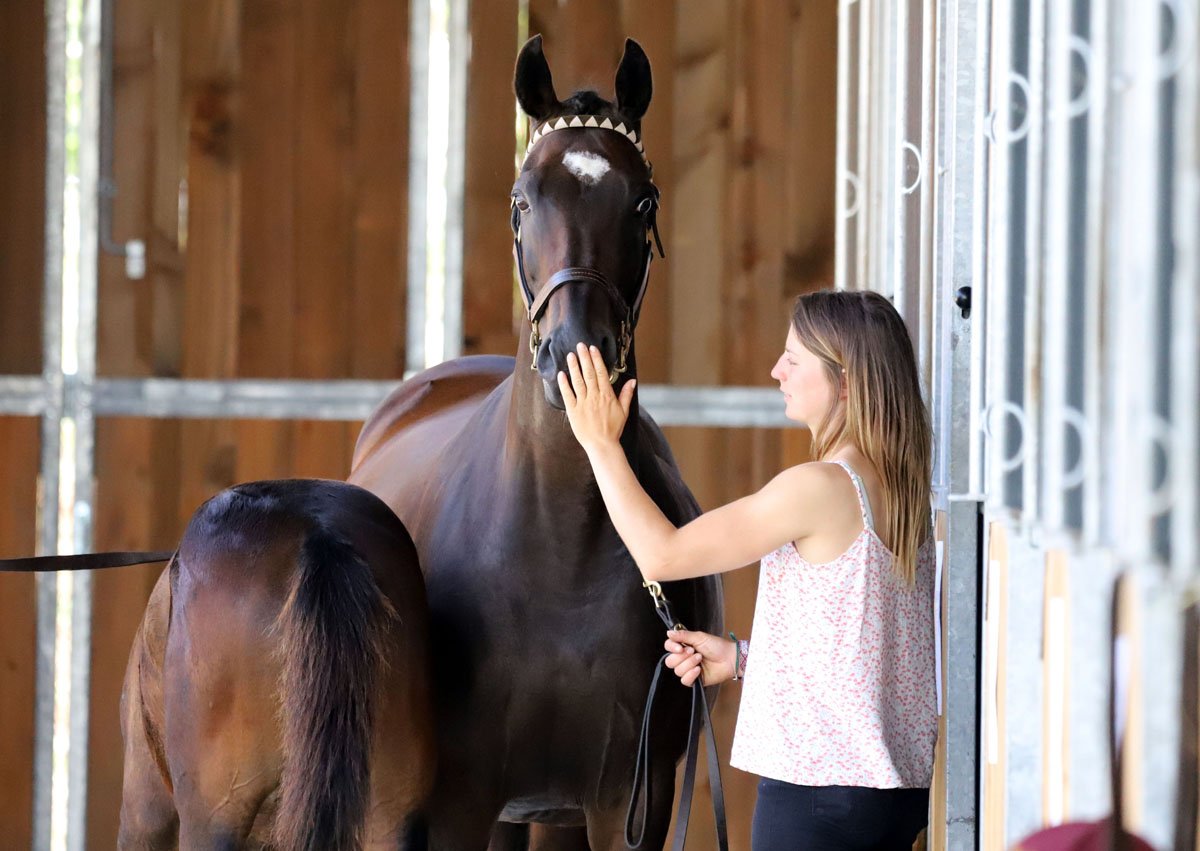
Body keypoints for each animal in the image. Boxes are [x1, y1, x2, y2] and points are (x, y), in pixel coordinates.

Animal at [348, 35, 723, 851]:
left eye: (643, 202)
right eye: (523, 200)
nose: (572, 355)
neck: (556, 548)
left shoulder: (629, 801)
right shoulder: (457, 803)